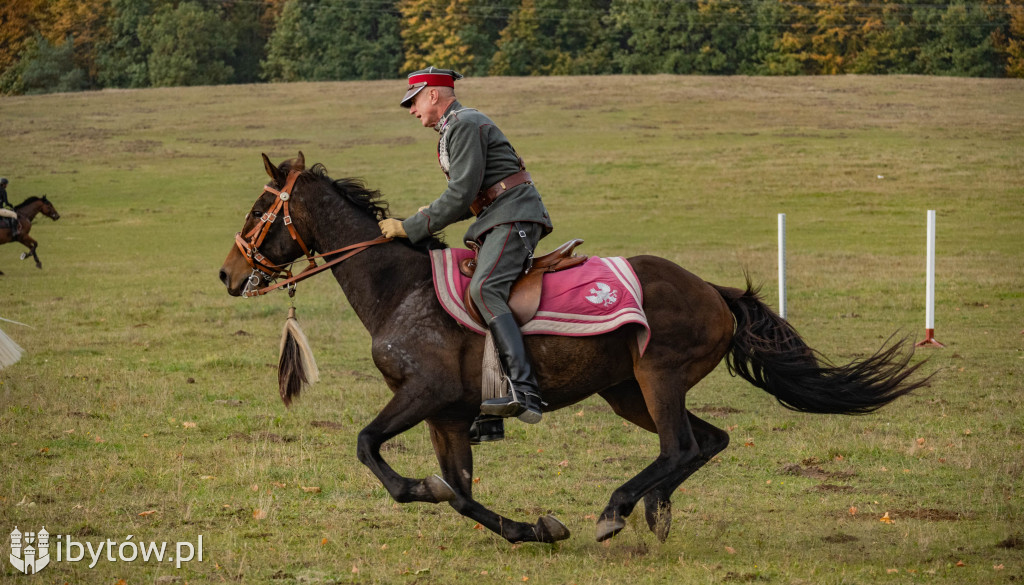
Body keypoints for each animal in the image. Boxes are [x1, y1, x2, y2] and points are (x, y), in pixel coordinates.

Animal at [220, 154, 933, 545]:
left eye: (258, 208)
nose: (229, 274)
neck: (399, 288)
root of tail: (713, 290)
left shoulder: (425, 394)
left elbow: (374, 452)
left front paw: (422, 488)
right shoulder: (447, 414)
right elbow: (461, 492)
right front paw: (531, 529)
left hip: (657, 377)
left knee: (680, 445)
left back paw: (619, 509)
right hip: (626, 391)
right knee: (707, 441)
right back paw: (656, 509)